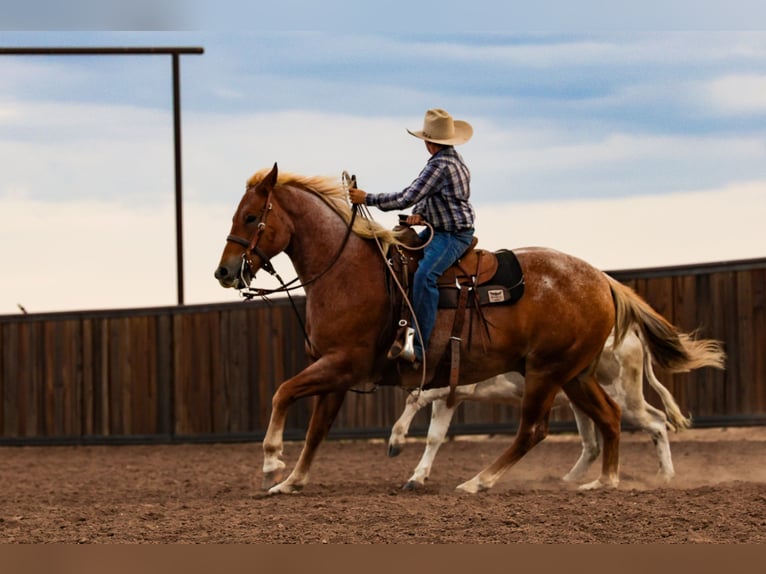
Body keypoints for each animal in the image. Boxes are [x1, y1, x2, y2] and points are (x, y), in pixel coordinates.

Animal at [388, 327, 725, 490]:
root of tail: (630, 334)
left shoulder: (452, 389)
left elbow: (413, 400)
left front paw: (396, 441)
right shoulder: (451, 397)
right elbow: (435, 437)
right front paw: (417, 477)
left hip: (625, 396)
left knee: (655, 421)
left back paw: (665, 475)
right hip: (582, 402)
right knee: (592, 445)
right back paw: (569, 480)